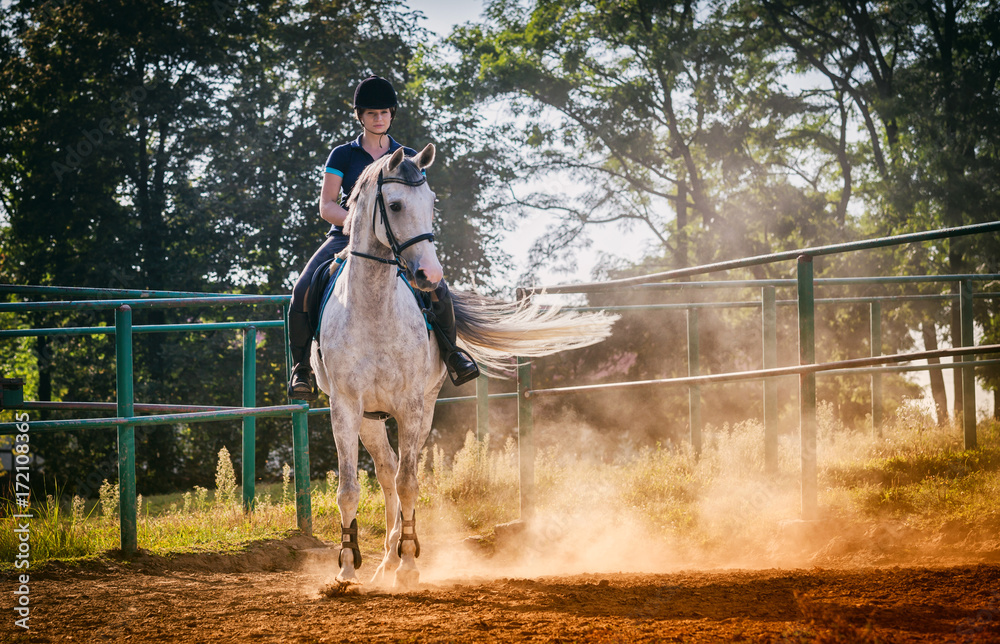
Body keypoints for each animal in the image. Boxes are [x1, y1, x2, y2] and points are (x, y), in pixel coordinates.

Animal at [312, 145, 612, 588]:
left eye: (432, 202)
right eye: (396, 205)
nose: (429, 274)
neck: (374, 308)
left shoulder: (412, 405)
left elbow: (410, 483)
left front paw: (408, 564)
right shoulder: (345, 405)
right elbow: (350, 488)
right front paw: (347, 568)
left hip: (421, 409)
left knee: (397, 475)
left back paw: (396, 557)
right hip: (369, 417)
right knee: (384, 472)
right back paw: (382, 561)